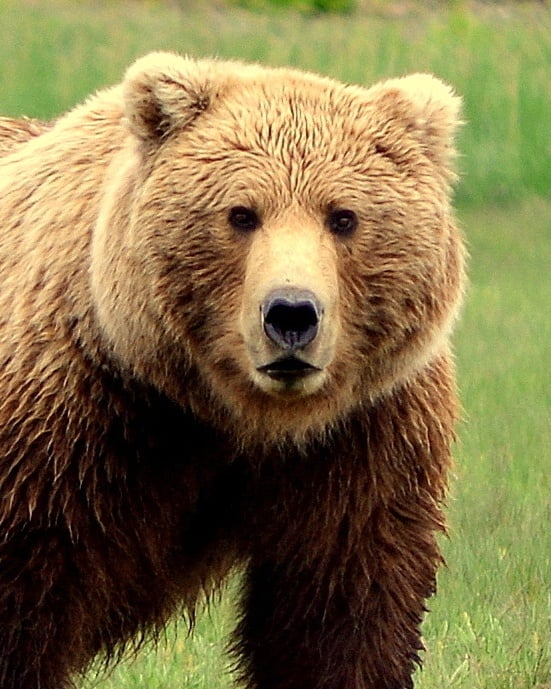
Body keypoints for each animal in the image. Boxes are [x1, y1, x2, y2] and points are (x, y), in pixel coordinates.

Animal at [0, 52, 465, 689]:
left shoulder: (361, 436)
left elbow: (340, 610)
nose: (291, 313)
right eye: (242, 214)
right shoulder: (72, 426)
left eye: (343, 217)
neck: (238, 415)